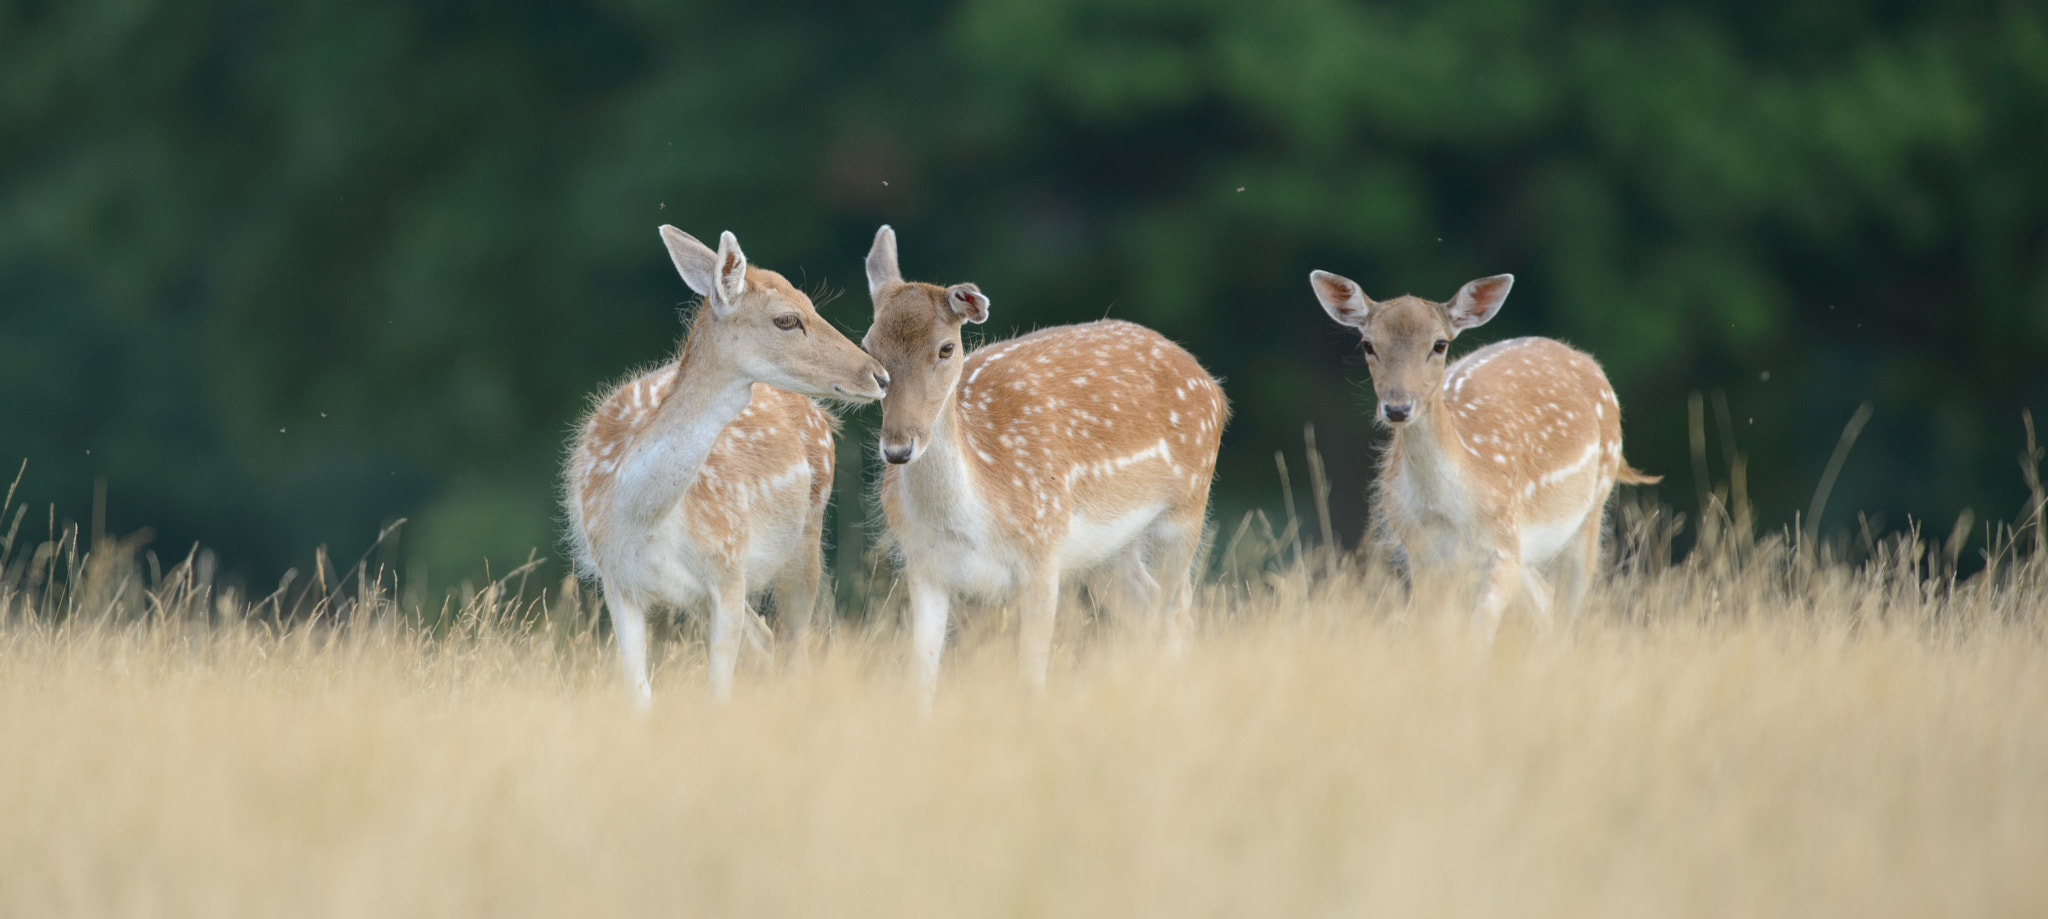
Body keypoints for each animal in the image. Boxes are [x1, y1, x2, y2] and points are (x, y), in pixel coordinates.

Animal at [564, 226, 890, 704]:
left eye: (812, 305)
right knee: (766, 643)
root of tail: (820, 414)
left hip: (806, 542)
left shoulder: (730, 569)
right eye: (787, 319)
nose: (880, 376)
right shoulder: (617, 583)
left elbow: (718, 693)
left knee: (795, 650)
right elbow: (640, 695)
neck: (645, 519)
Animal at [858, 225, 1228, 705]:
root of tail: (1213, 386)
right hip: (1109, 548)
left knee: (1176, 610)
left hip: (1187, 509)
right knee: (1145, 605)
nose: (899, 448)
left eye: (945, 348)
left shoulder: (1043, 553)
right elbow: (920, 681)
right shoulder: (923, 565)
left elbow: (1031, 677)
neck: (971, 518)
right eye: (867, 346)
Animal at [1308, 269, 1659, 640]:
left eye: (1439, 344)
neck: (1448, 507)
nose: (1398, 407)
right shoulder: (1421, 551)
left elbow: (1479, 631)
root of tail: (1584, 358)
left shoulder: (1505, 541)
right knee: (1544, 601)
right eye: (1368, 344)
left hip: (1591, 507)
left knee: (1566, 612)